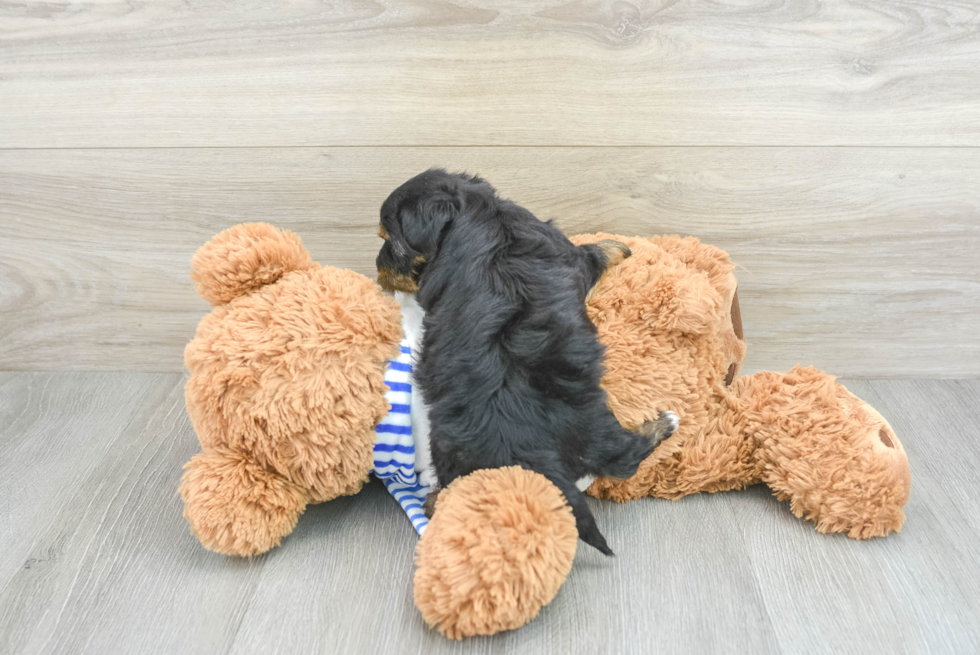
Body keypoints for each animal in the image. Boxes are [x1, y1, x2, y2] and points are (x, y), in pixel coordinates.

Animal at [376, 169, 672, 552]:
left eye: (392, 244)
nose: (377, 265)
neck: (476, 212)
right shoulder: (569, 256)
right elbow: (590, 254)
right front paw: (617, 246)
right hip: (594, 421)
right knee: (627, 456)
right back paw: (664, 423)